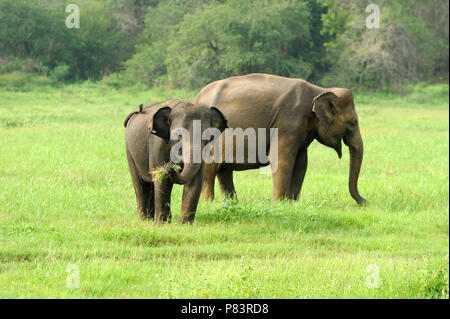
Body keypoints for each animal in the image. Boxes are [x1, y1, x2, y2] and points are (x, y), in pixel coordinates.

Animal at [195, 73, 368, 205]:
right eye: (352, 123)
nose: (366, 202)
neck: (320, 90)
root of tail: (197, 98)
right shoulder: (288, 121)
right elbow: (281, 159)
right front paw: (279, 203)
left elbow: (301, 162)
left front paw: (291, 203)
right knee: (210, 171)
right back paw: (208, 203)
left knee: (224, 170)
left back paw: (232, 202)